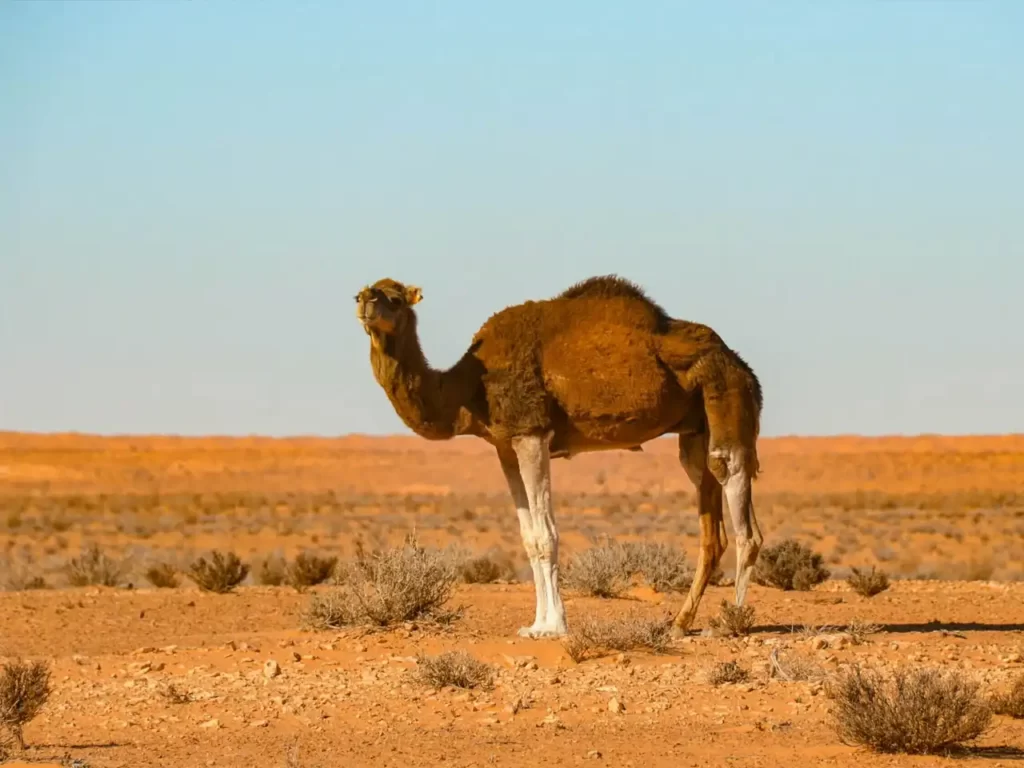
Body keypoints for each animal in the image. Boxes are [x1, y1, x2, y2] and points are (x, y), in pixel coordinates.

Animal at [356, 274, 765, 638]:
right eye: (365, 292)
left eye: (395, 298)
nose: (365, 301)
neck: (466, 387)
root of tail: (742, 365)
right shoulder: (504, 445)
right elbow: (528, 537)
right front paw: (534, 624)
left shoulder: (531, 433)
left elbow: (545, 535)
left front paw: (553, 627)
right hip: (695, 429)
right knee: (710, 517)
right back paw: (680, 624)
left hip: (726, 393)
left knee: (739, 505)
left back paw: (731, 621)